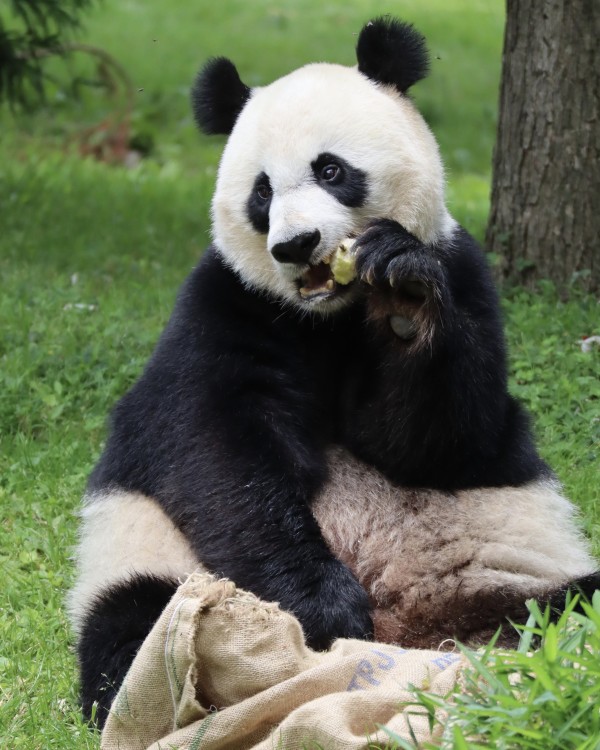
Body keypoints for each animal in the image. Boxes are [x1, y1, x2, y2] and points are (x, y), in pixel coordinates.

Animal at [69, 17, 600, 726]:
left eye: (330, 169)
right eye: (262, 192)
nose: (296, 245)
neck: (327, 318)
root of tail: (411, 631)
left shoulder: (463, 273)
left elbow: (442, 440)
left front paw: (404, 303)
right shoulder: (224, 306)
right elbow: (214, 447)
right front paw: (324, 604)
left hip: (508, 576)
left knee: (576, 604)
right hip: (153, 561)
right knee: (139, 631)